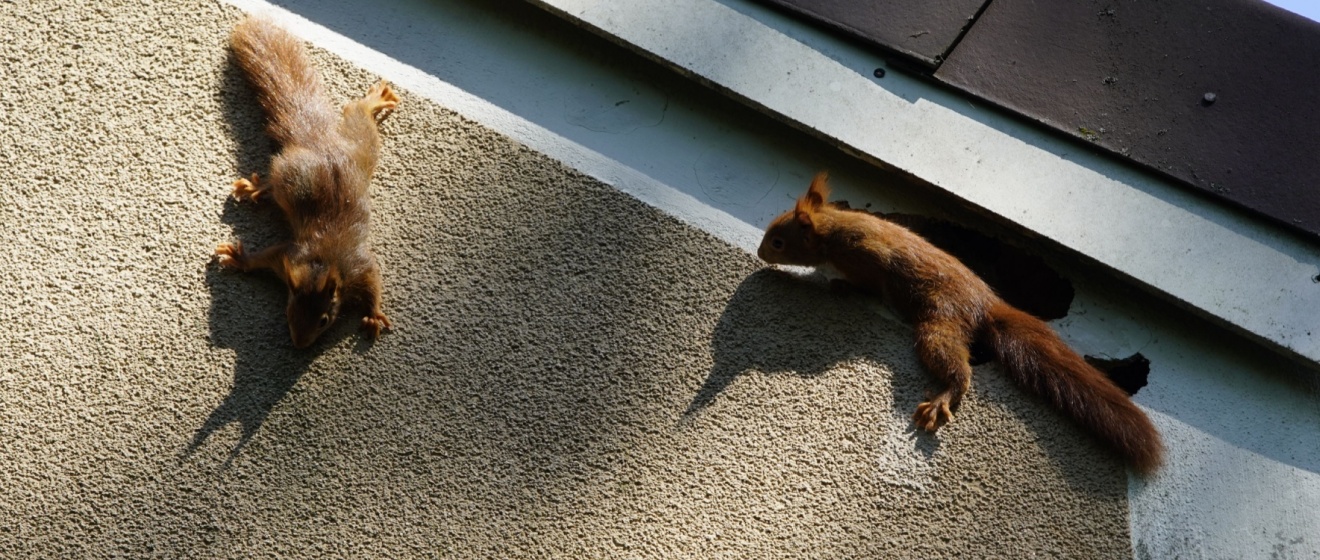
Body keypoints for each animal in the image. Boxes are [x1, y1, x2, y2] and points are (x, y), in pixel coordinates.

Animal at [213, 16, 398, 348]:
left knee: (358, 116)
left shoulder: (357, 268)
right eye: (289, 312)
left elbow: (373, 281)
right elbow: (265, 256)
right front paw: (240, 258)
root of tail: (318, 141)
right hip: (296, 177)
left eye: (324, 320)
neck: (323, 263)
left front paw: (374, 314)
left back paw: (374, 102)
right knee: (275, 181)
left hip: (360, 149)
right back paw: (257, 188)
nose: (299, 345)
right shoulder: (288, 257)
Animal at [758, 172, 1163, 474]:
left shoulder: (868, 255)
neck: (833, 231)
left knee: (957, 368)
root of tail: (986, 303)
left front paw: (841, 286)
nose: (762, 253)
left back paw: (944, 396)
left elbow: (870, 284)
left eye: (778, 242)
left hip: (941, 322)